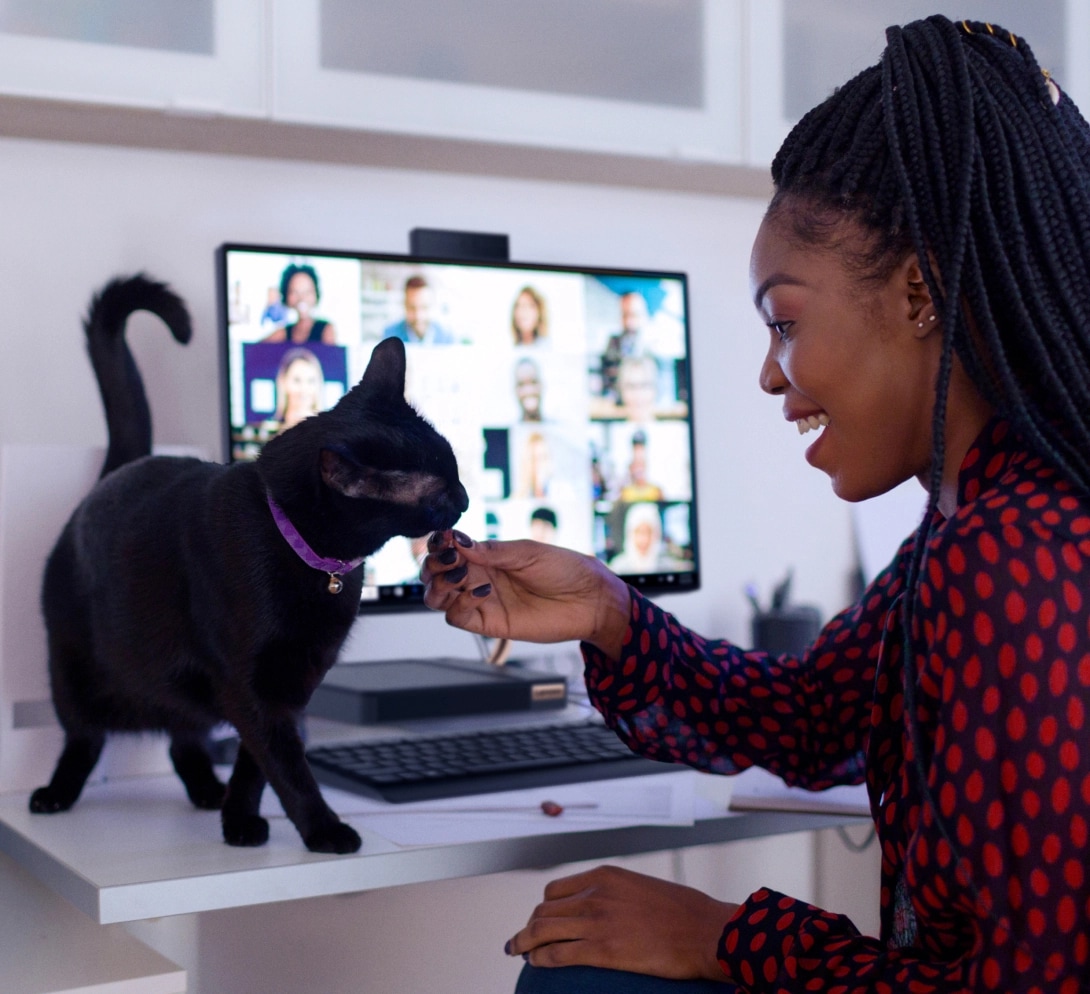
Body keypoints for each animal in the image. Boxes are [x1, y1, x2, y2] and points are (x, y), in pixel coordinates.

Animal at [31, 273, 466, 854]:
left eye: (455, 467)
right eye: (439, 490)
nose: (465, 497)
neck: (313, 563)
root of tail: (115, 473)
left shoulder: (294, 682)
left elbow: (258, 763)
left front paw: (239, 819)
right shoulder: (251, 685)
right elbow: (285, 764)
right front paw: (324, 830)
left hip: (175, 689)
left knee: (183, 740)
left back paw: (206, 792)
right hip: (73, 670)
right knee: (85, 737)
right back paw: (56, 793)